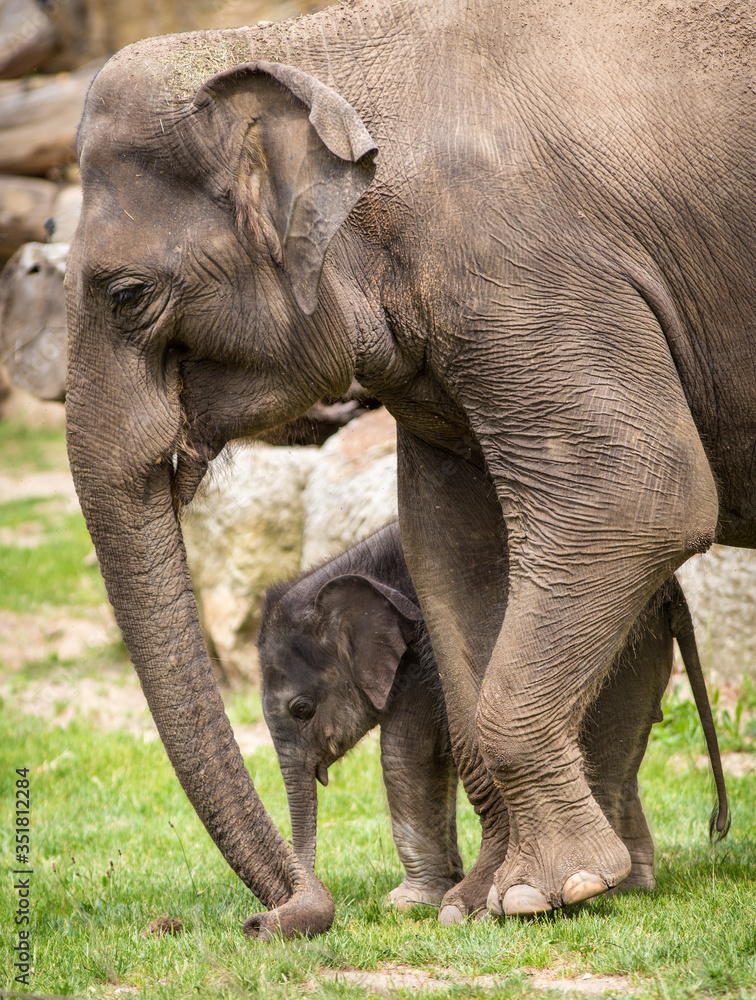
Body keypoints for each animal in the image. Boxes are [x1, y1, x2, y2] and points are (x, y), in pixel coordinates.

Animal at [259, 520, 728, 915]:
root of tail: (673, 589)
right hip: (644, 648)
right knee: (623, 757)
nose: (268, 919)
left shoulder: (420, 652)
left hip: (626, 651)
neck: (354, 566)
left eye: (302, 709)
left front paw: (405, 905)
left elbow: (406, 752)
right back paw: (628, 888)